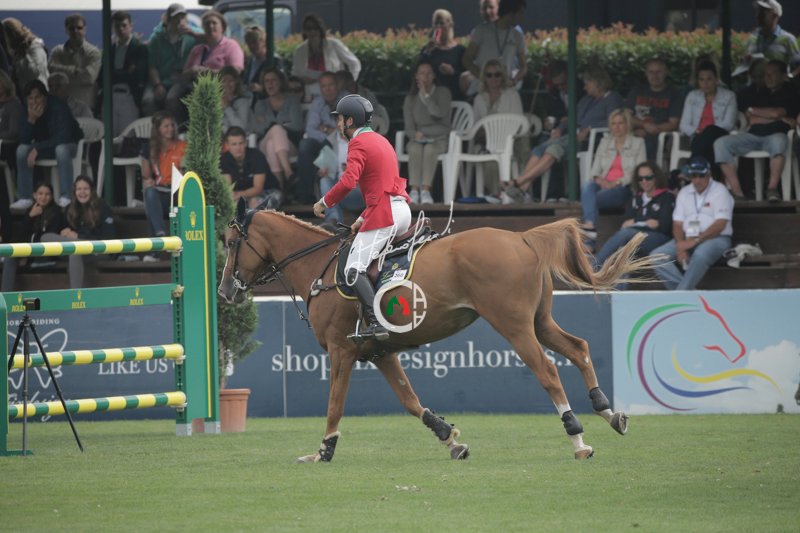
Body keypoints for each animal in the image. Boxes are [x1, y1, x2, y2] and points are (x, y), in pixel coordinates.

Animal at [219, 203, 655, 463]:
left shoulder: (341, 353)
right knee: (578, 349)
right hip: (539, 321)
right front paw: (450, 437)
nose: (225, 292)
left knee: (547, 371)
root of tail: (519, 236)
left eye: (230, 242)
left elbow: (334, 406)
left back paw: (578, 439)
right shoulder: (381, 353)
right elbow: (411, 401)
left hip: (514, 326)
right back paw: (610, 413)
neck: (319, 267)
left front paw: (323, 451)